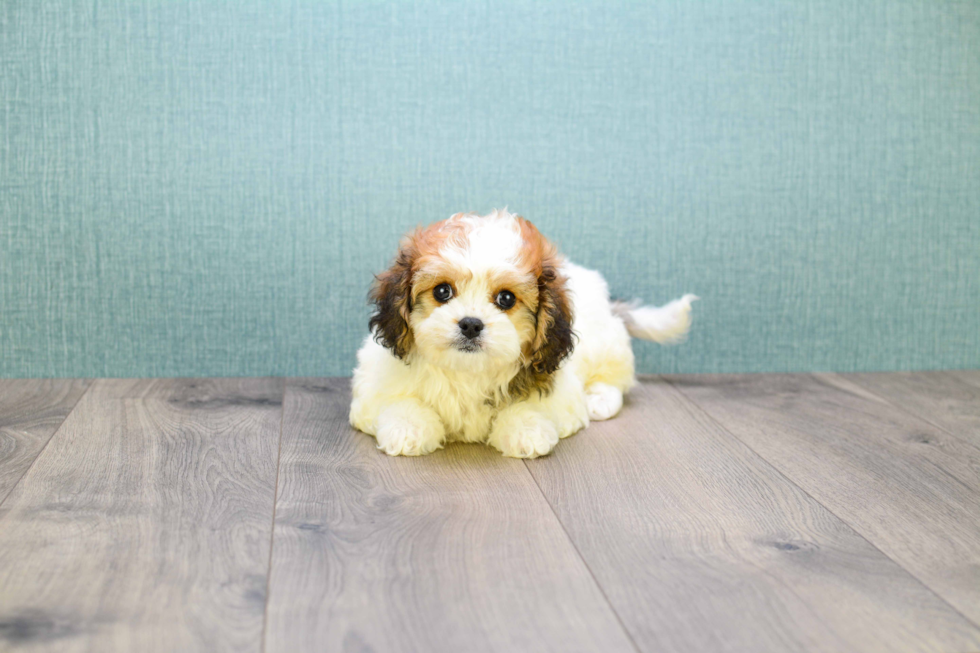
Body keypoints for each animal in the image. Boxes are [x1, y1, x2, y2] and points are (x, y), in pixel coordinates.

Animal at [348, 211, 692, 456]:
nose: (470, 324)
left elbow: (532, 406)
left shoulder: (558, 387)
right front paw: (409, 429)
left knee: (615, 378)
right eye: (442, 291)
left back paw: (600, 399)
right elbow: (398, 401)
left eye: (506, 299)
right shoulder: (375, 384)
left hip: (607, 345)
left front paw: (524, 430)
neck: (467, 371)